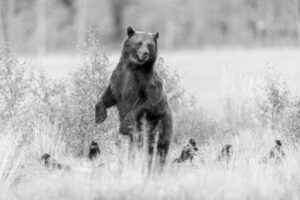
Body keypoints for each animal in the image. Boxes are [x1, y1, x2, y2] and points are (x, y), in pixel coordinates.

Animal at [96, 26, 173, 164]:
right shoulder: (118, 78)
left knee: (159, 149)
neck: (134, 67)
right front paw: (100, 115)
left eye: (150, 45)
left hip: (159, 125)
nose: (145, 53)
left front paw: (124, 125)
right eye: (139, 43)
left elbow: (149, 102)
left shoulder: (148, 82)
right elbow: (109, 95)